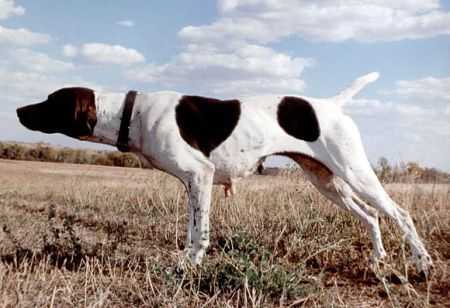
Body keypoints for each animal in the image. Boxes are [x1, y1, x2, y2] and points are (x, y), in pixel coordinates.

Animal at [16, 73, 432, 274]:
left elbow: (197, 231)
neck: (130, 113)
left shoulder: (199, 175)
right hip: (327, 182)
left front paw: (189, 265)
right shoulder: (193, 182)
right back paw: (378, 262)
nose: (18, 109)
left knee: (400, 214)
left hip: (355, 172)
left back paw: (423, 264)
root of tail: (331, 105)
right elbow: (192, 229)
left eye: (50, 101)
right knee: (373, 215)